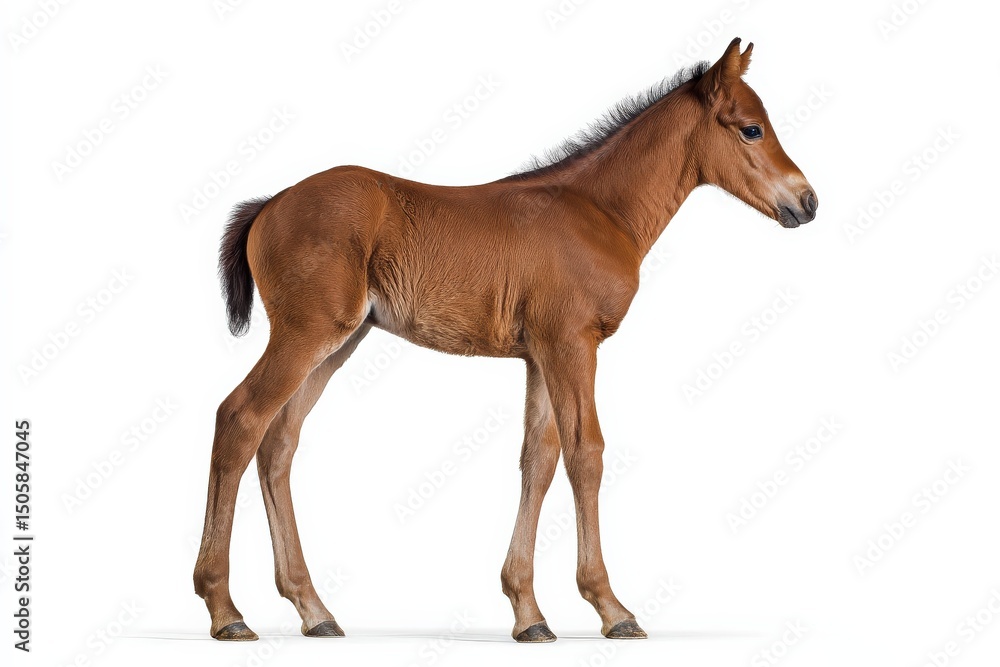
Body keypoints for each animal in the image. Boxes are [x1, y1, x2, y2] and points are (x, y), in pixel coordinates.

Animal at [193, 37, 818, 643]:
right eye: (752, 128)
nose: (808, 201)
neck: (599, 210)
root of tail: (270, 203)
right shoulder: (572, 344)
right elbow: (586, 453)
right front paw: (611, 608)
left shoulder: (540, 355)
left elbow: (537, 458)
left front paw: (528, 613)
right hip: (308, 332)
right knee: (240, 418)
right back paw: (225, 610)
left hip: (337, 345)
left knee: (278, 444)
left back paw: (313, 608)